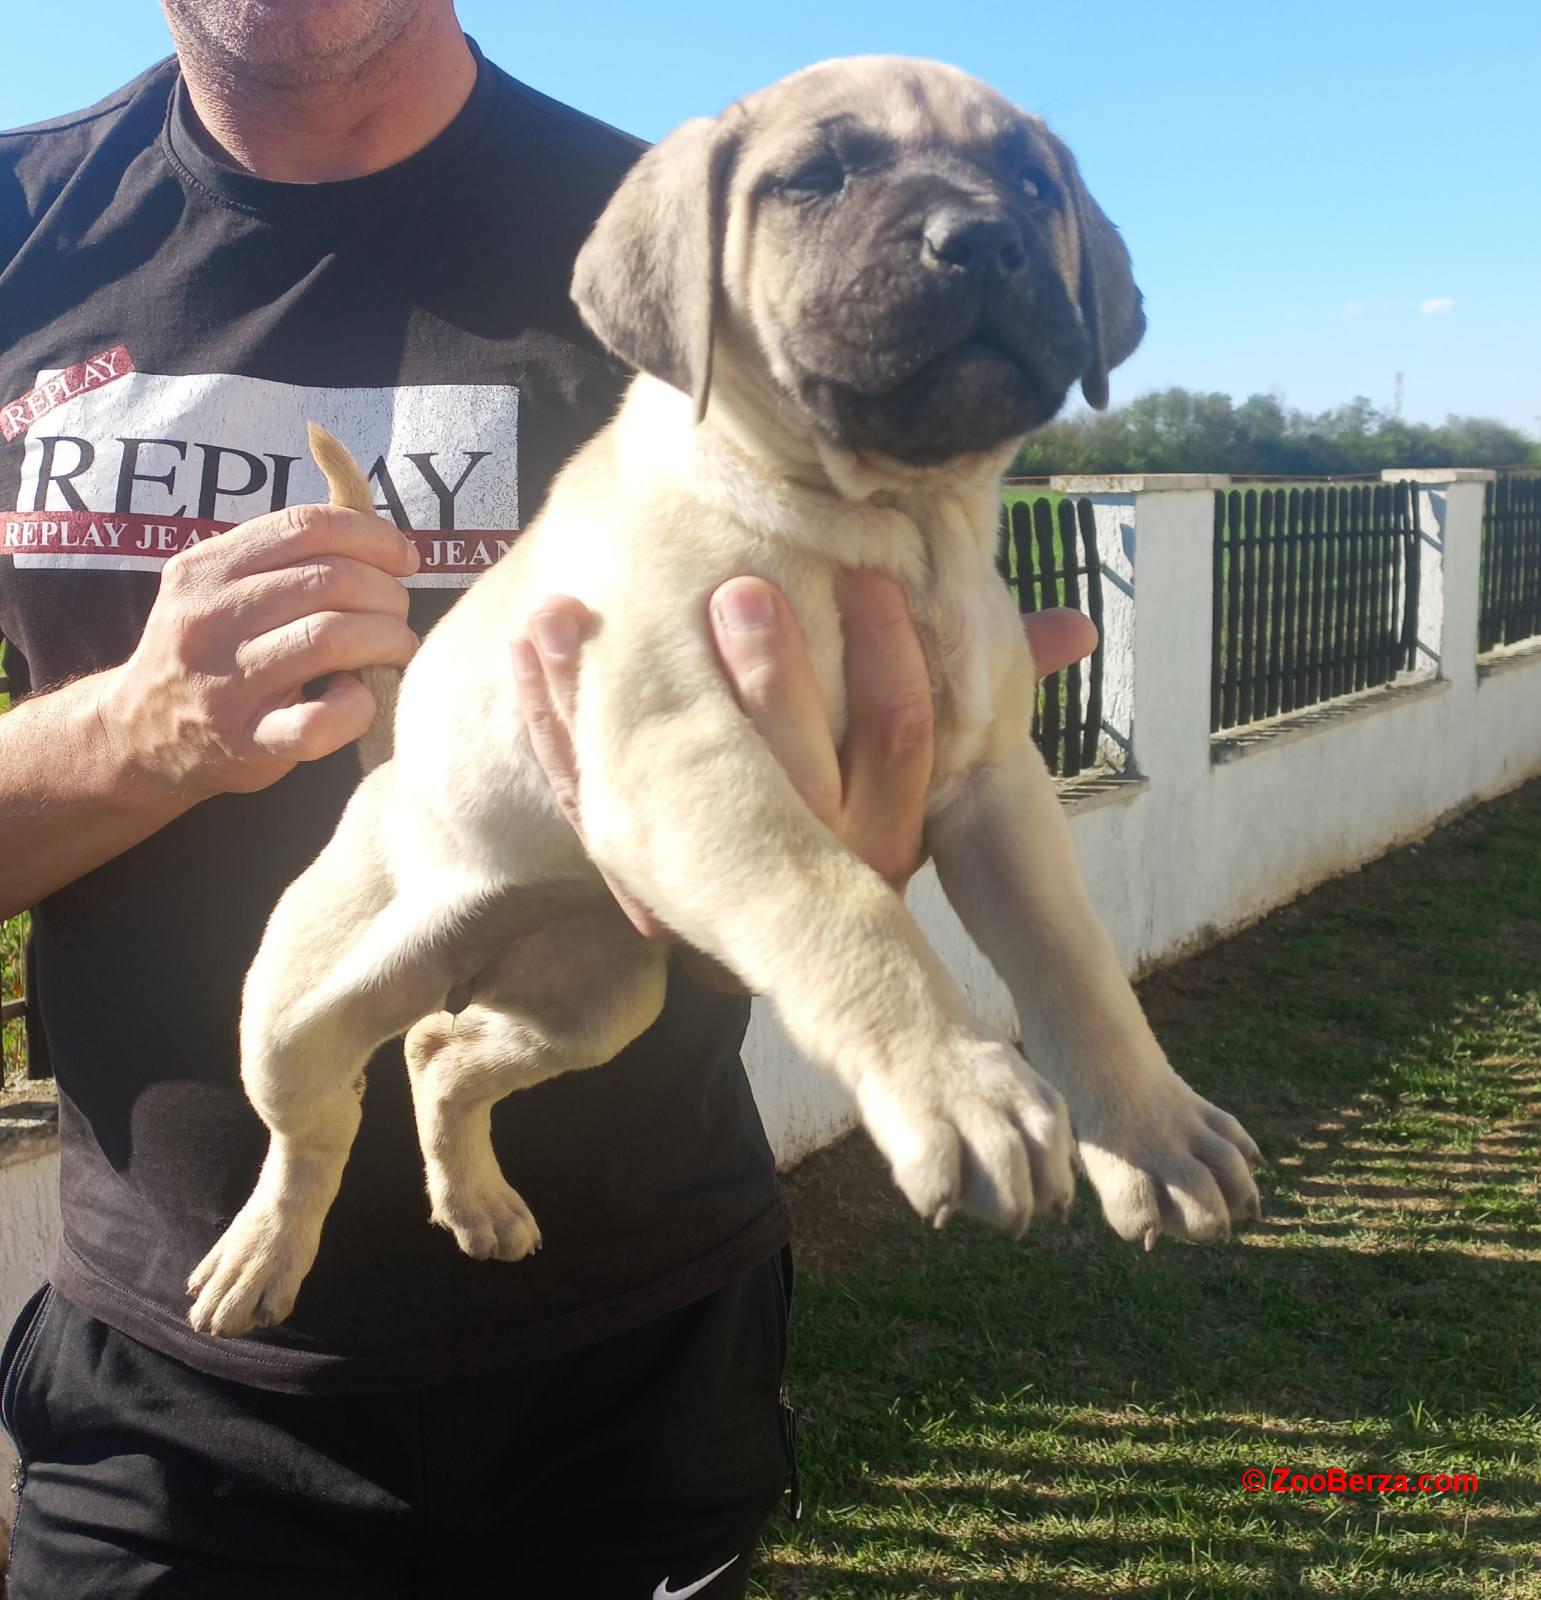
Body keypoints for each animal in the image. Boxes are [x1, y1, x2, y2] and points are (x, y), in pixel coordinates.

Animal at [186, 56, 1260, 1337]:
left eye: (1032, 181)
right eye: (814, 177)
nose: (981, 241)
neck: (878, 519)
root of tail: (387, 759)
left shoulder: (996, 786)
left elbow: (1075, 960)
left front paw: (1152, 1130)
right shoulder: (685, 755)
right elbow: (841, 904)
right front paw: (956, 1087)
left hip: (593, 995)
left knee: (442, 1050)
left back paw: (479, 1201)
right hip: (296, 1006)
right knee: (312, 1123)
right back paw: (262, 1254)